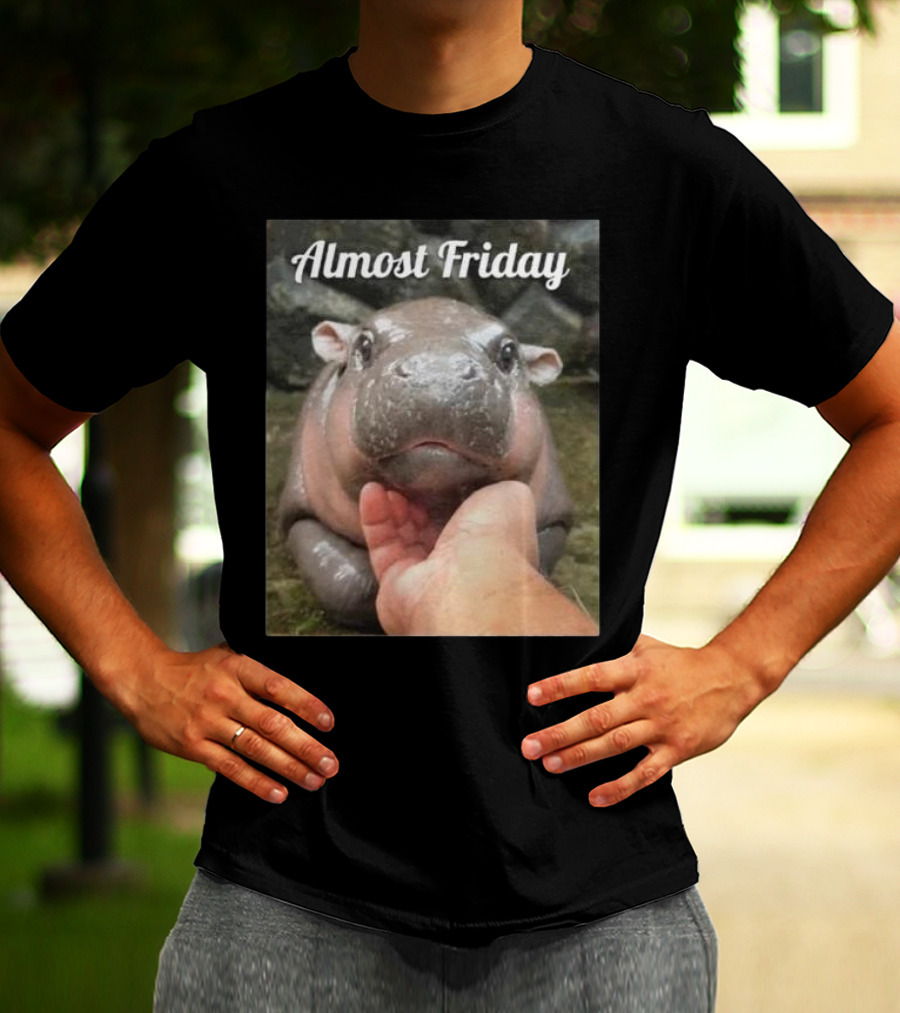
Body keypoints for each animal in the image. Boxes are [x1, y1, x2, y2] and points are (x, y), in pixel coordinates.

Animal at [276, 295, 575, 632]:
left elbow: (539, 558)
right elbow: (344, 582)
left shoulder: (555, 517)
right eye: (363, 345)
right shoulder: (300, 512)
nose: (437, 374)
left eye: (509, 353)